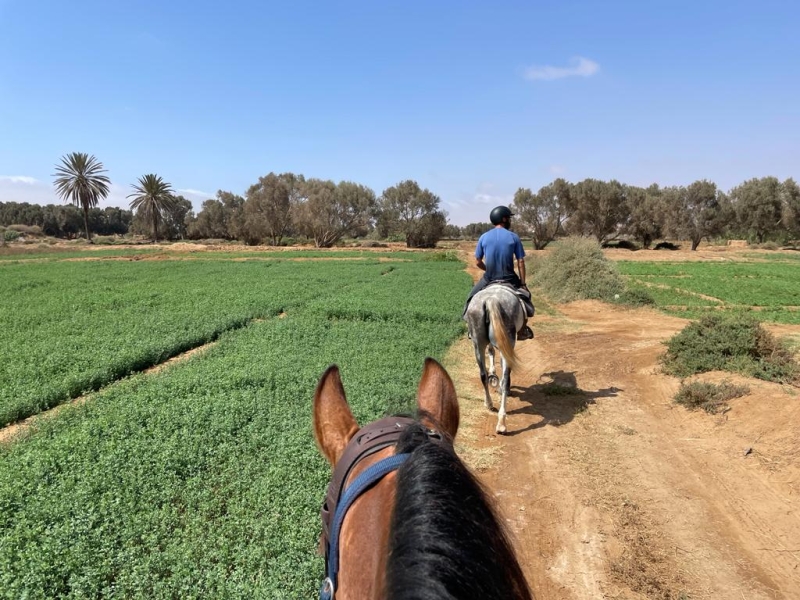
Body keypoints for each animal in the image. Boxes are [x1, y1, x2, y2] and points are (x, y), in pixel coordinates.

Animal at [462, 284, 524, 434]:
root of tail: (491, 299)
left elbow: (490, 352)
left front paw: (493, 374)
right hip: (508, 340)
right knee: (505, 377)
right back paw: (501, 421)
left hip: (477, 341)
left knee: (483, 375)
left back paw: (490, 404)